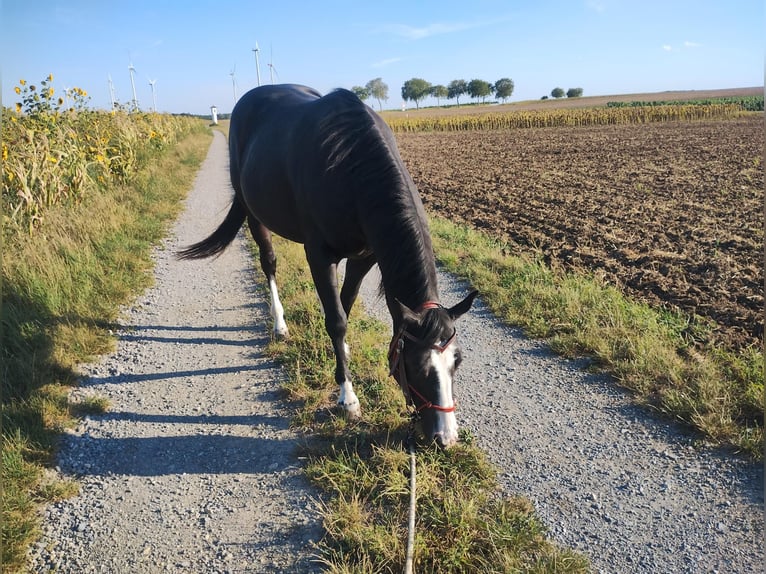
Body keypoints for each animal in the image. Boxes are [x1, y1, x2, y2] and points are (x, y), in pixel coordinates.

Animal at [178, 84, 477, 448]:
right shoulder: (320, 256)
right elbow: (336, 320)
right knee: (269, 263)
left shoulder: (364, 257)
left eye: (457, 362)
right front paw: (347, 396)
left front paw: (343, 355)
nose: (445, 438)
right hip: (254, 215)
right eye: (418, 366)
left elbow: (345, 307)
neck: (351, 169)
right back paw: (280, 324)